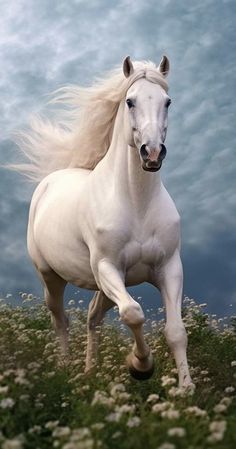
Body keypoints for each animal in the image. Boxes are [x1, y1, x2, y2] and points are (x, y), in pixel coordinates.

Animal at [13, 55, 193, 384]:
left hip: (104, 285)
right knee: (61, 319)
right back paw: (66, 370)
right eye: (130, 101)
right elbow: (133, 313)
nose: (152, 153)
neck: (137, 203)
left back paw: (89, 372)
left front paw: (186, 391)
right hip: (52, 277)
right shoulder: (108, 266)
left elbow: (176, 331)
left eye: (168, 101)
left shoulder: (169, 268)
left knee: (92, 318)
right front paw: (140, 366)